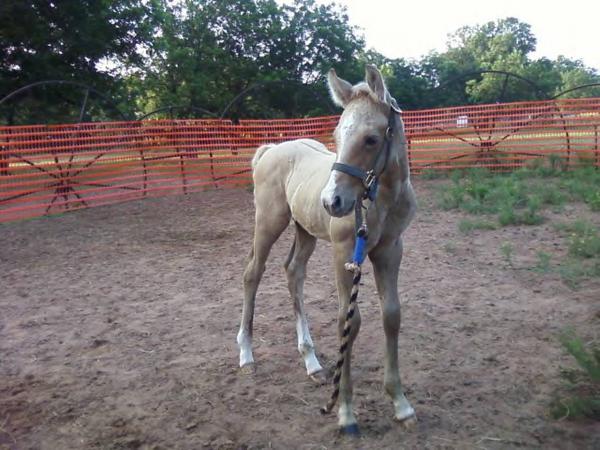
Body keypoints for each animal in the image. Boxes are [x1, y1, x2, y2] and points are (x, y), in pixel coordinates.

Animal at [236, 65, 418, 434]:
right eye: (336, 135)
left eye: (371, 139)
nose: (332, 201)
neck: (381, 199)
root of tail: (270, 150)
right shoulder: (345, 251)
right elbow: (348, 320)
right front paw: (345, 412)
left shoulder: (391, 249)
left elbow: (391, 315)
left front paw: (400, 403)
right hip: (268, 223)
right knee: (252, 274)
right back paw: (246, 355)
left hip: (304, 230)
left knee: (293, 272)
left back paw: (312, 361)